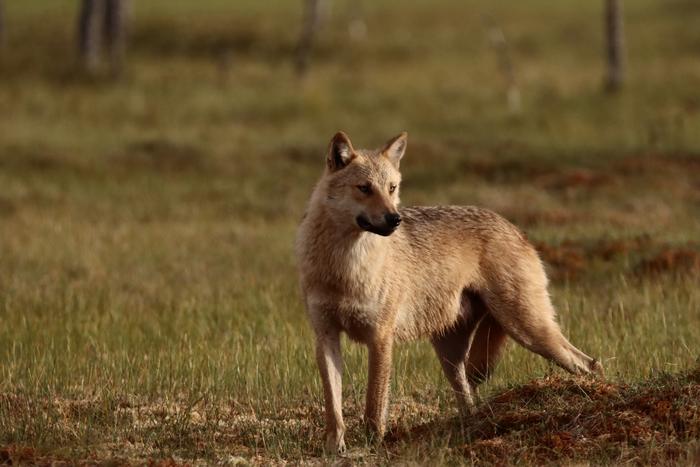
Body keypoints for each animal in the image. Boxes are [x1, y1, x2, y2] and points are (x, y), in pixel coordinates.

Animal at [296, 131, 603, 454]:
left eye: (392, 188)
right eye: (364, 188)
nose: (395, 219)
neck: (344, 267)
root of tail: (517, 230)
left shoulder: (380, 338)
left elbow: (374, 405)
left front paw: (373, 446)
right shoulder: (326, 337)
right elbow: (334, 407)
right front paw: (334, 448)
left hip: (530, 332)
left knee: (590, 364)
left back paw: (597, 396)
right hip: (453, 356)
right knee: (469, 398)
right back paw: (470, 429)